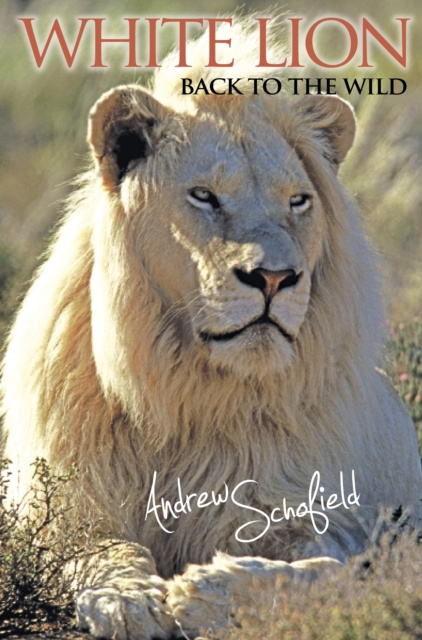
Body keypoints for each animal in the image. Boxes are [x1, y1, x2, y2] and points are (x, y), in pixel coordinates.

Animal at [2, 19, 422, 640]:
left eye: (298, 201)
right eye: (204, 195)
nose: (274, 277)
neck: (196, 393)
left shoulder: (324, 518)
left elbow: (336, 574)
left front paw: (207, 591)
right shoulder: (64, 508)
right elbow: (96, 551)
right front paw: (126, 601)